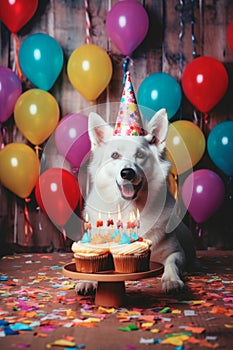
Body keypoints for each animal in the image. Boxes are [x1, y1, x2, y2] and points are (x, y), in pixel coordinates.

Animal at [75, 108, 196, 294]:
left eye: (140, 155)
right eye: (115, 155)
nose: (127, 173)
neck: (128, 209)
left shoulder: (175, 252)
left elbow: (171, 264)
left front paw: (171, 280)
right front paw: (86, 281)